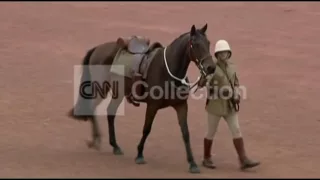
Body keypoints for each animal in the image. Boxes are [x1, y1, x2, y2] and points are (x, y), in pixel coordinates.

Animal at [68, 23, 216, 173]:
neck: (168, 69)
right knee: (92, 108)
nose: (211, 67)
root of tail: (97, 48)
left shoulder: (181, 105)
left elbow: (185, 133)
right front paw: (139, 154)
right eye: (195, 44)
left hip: (118, 92)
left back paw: (114, 145)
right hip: (101, 88)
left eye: (208, 43)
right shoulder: (152, 105)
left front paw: (192, 163)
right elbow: (146, 128)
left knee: (110, 112)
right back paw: (96, 140)